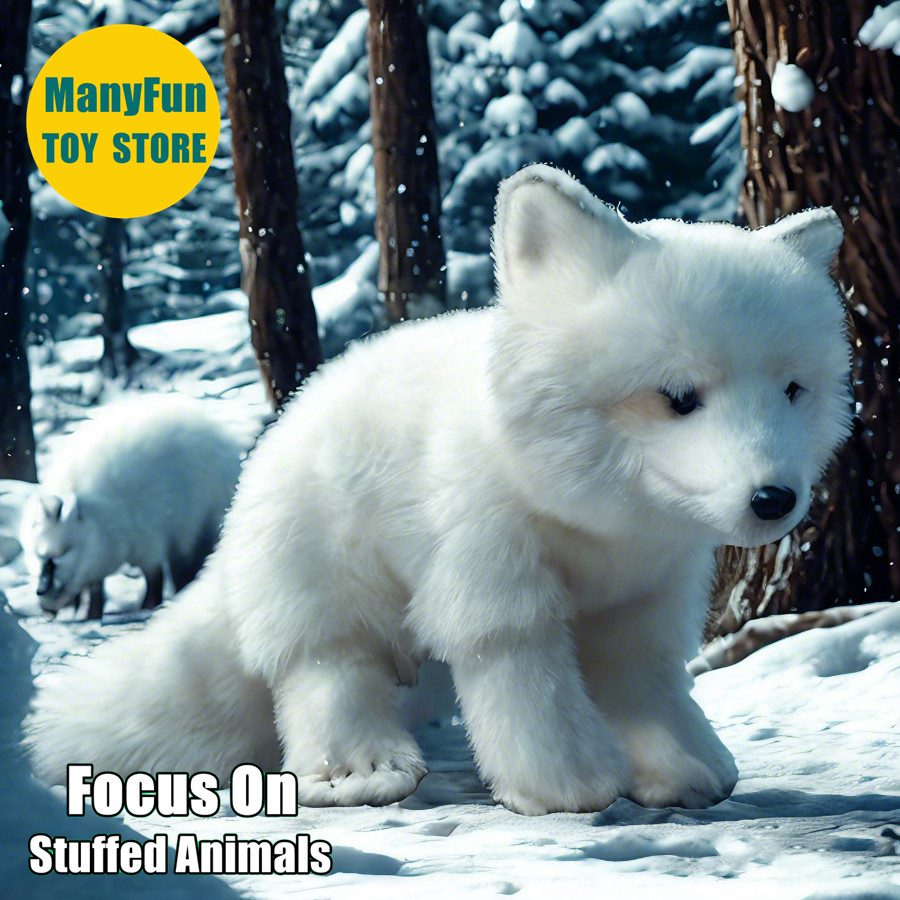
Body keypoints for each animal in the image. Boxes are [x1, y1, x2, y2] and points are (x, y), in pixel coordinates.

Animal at [20, 394, 243, 620]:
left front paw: (147, 606)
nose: (41, 591)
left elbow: (154, 578)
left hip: (193, 532)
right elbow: (95, 588)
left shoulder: (150, 537)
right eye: (37, 555)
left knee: (185, 569)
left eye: (61, 553)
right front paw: (92, 614)